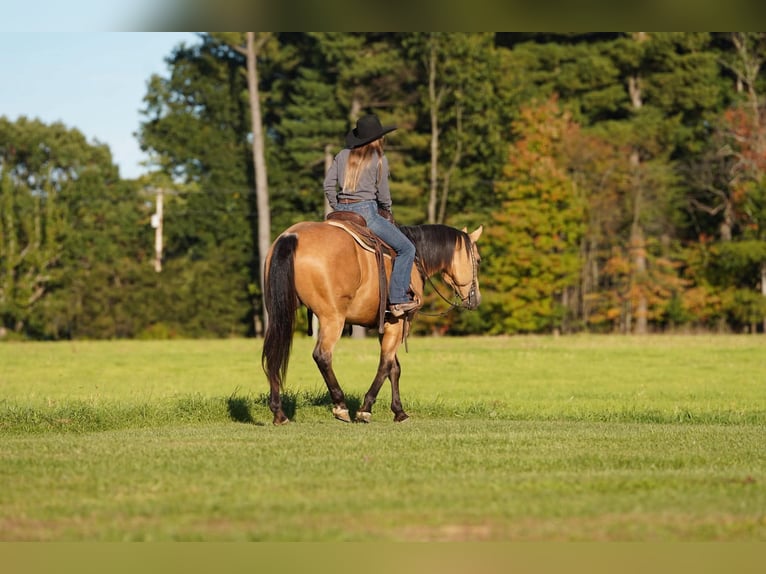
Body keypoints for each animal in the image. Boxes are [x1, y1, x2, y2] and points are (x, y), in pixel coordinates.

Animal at [261, 220, 483, 425]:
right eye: (479, 261)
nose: (476, 300)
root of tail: (292, 236)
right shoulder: (398, 324)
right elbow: (385, 364)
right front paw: (365, 409)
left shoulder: (384, 325)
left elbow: (394, 368)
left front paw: (399, 411)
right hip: (333, 318)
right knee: (322, 355)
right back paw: (340, 406)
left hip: (279, 315)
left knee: (273, 355)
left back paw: (279, 412)